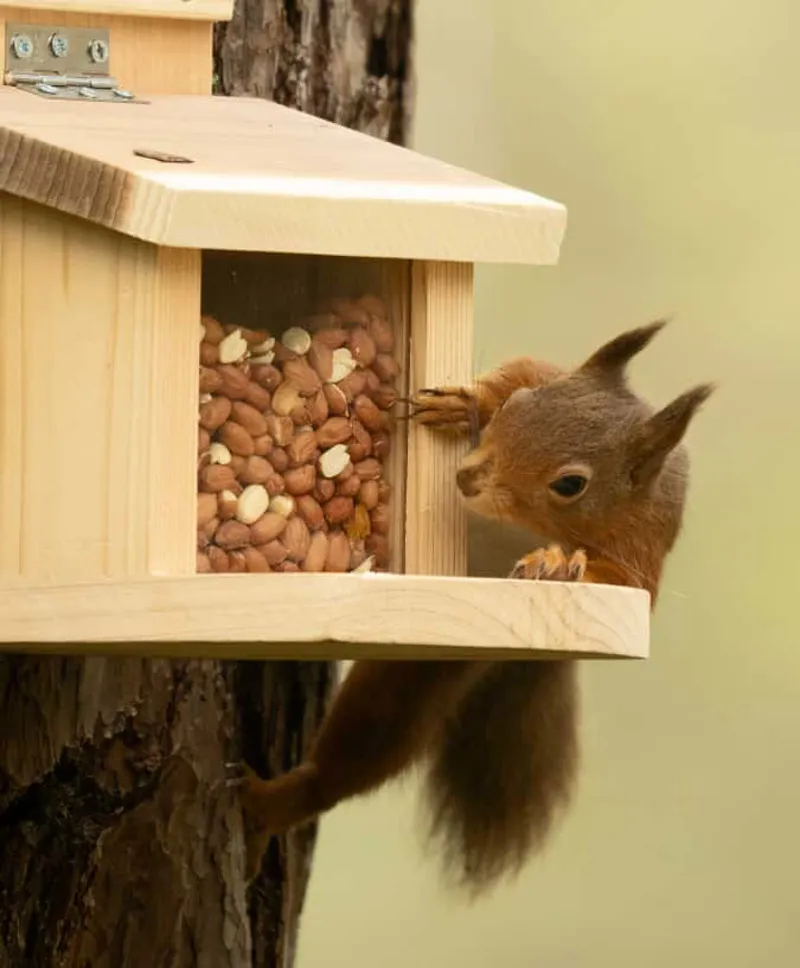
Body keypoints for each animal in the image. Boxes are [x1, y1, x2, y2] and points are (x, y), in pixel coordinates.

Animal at [235, 319, 713, 894]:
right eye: (516, 406)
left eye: (570, 484)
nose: (467, 478)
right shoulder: (539, 371)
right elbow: (515, 368)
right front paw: (461, 402)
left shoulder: (641, 553)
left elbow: (621, 584)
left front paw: (557, 565)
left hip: (430, 669)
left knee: (362, 754)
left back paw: (270, 807)